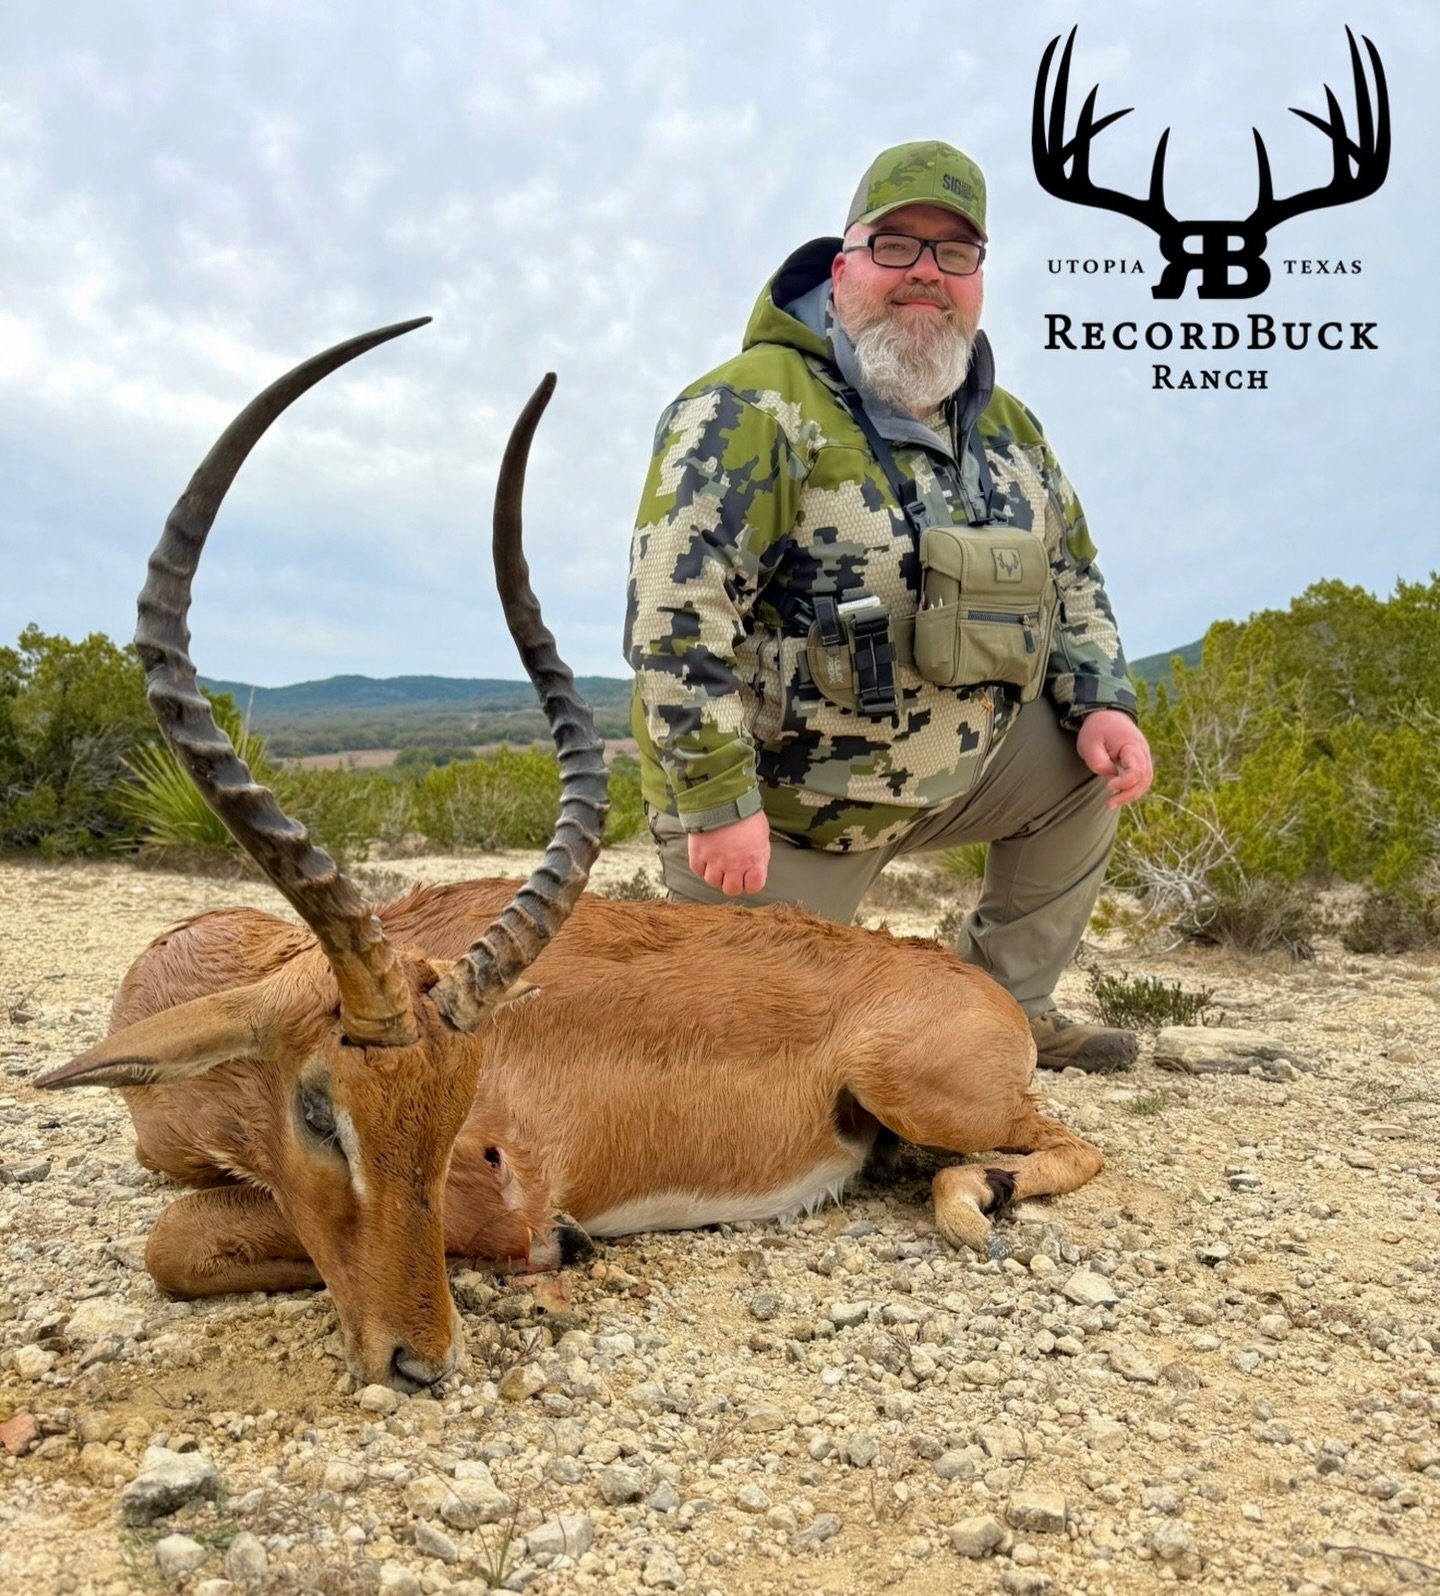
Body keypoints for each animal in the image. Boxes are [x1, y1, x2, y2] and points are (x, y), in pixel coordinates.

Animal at [36, 323, 1104, 1393]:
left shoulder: (506, 1191)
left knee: (1073, 1145)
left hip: (925, 1095)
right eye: (317, 1112)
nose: (421, 1360)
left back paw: (975, 1202)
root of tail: (973, 986)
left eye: (461, 1120)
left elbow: (174, 1239)